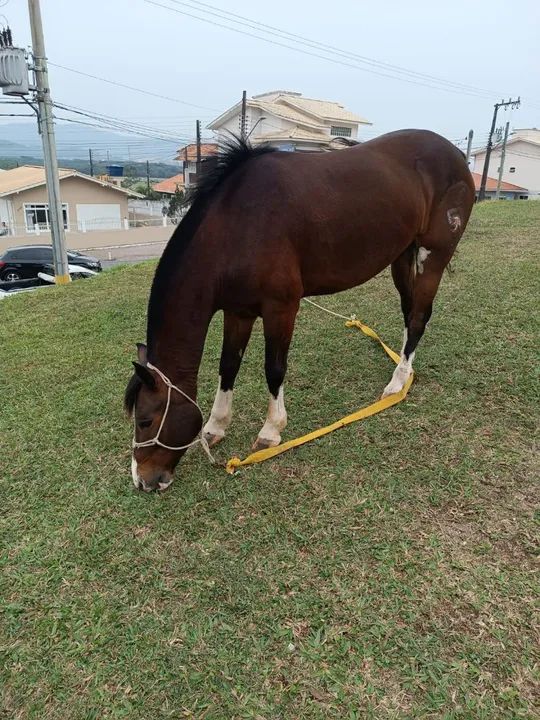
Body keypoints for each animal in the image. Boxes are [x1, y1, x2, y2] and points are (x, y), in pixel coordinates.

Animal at [125, 129, 475, 492]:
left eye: (146, 420)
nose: (143, 480)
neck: (237, 226)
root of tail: (454, 154)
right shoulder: (239, 311)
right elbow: (228, 366)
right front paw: (215, 426)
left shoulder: (281, 309)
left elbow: (274, 369)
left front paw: (271, 431)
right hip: (403, 254)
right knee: (409, 312)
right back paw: (404, 372)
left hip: (434, 254)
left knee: (419, 316)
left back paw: (395, 384)